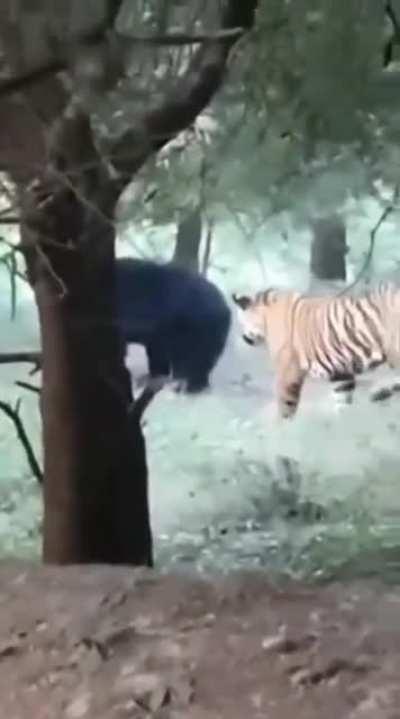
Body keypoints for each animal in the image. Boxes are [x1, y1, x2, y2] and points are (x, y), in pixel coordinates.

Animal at [232, 281, 400, 418]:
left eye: (242, 321)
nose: (245, 339)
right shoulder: (341, 373)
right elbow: (342, 398)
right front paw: (343, 418)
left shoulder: (288, 372)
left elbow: (285, 403)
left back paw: (380, 391)